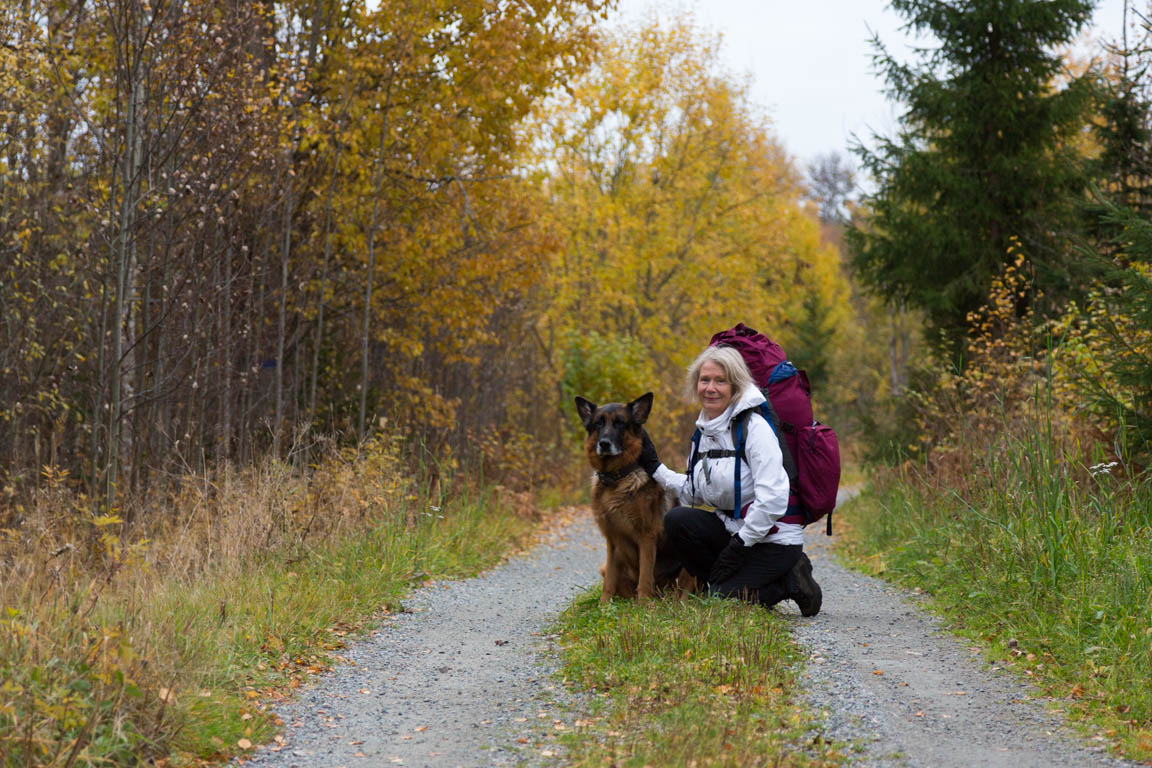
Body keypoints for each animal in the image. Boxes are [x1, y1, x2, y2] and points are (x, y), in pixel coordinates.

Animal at [573, 393, 672, 603]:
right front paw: (604, 605)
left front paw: (644, 604)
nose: (604, 443)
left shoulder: (647, 537)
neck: (616, 479)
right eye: (598, 423)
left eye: (620, 423)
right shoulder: (612, 540)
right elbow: (609, 579)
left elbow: (645, 576)